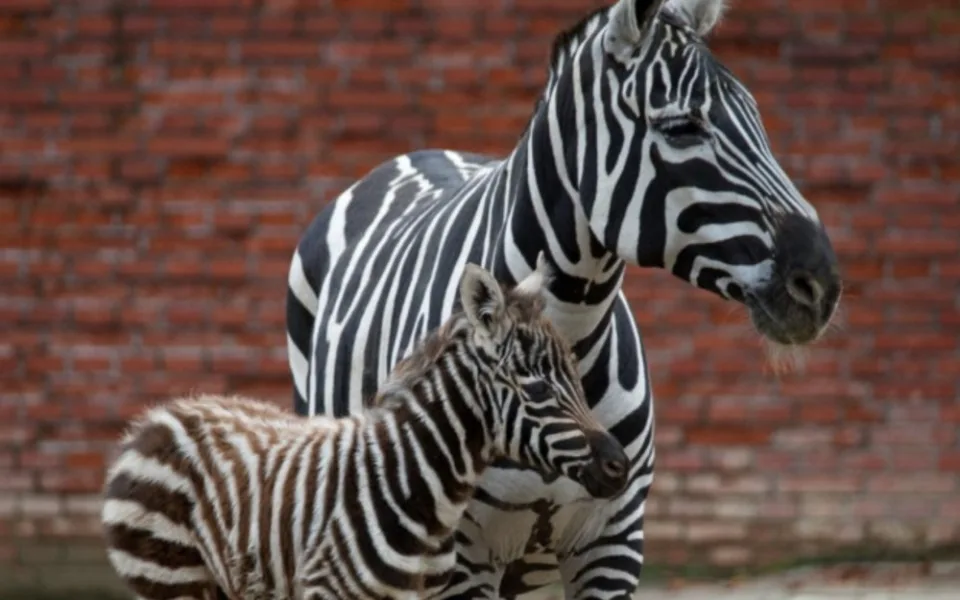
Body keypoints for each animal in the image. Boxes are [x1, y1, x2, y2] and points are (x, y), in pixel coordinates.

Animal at [101, 260, 630, 600]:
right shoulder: (328, 588)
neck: (420, 489)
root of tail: (159, 416)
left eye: (578, 379)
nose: (619, 466)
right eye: (538, 388)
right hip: (173, 576)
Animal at [285, 0, 842, 598]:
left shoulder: (613, 538)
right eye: (681, 128)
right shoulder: (462, 556)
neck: (571, 333)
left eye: (756, 117)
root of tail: (416, 153)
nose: (821, 285)